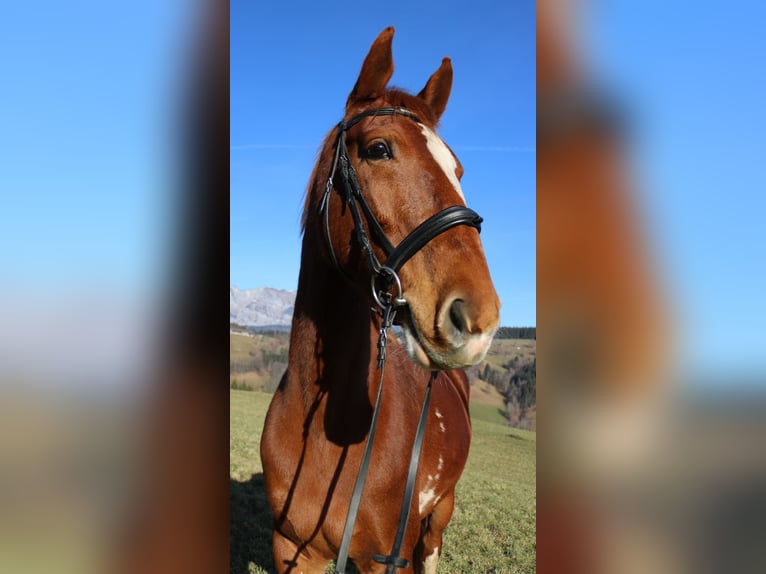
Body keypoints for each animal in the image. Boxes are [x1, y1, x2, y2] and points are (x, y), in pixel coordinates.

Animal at [260, 27, 500, 574]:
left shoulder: (387, 557)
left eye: (457, 169)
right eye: (378, 149)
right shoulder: (290, 551)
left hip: (437, 517)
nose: (479, 318)